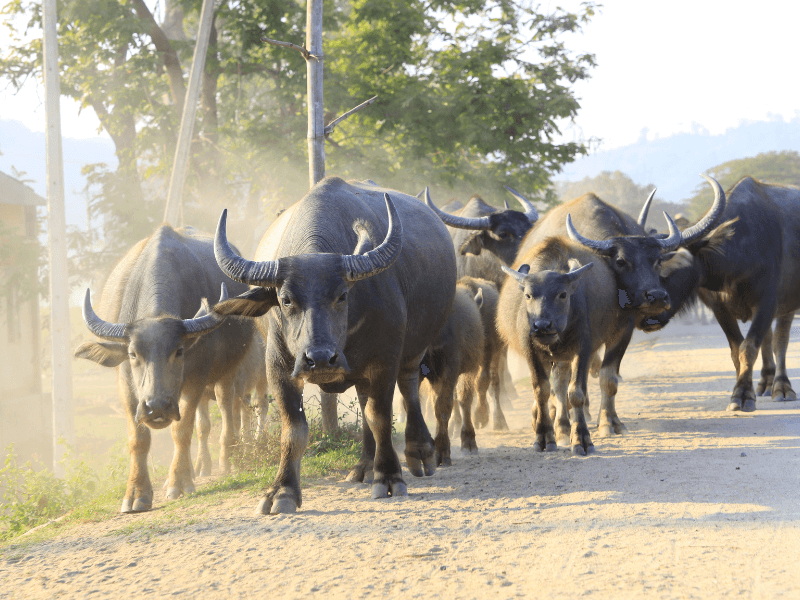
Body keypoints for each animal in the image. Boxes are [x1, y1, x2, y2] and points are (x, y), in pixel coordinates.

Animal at [73, 225, 256, 510]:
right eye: (133, 353)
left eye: (179, 351)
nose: (156, 407)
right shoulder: (127, 385)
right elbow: (138, 439)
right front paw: (137, 493)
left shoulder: (196, 378)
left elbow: (181, 431)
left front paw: (177, 484)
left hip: (228, 371)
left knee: (227, 409)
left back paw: (228, 461)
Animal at [209, 176, 456, 512]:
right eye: (285, 299)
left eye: (342, 295)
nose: (321, 359)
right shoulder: (279, 367)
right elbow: (294, 430)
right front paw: (282, 491)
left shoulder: (385, 359)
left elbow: (380, 417)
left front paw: (389, 477)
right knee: (364, 402)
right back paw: (365, 466)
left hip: (412, 351)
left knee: (407, 389)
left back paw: (419, 453)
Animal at [520, 176, 724, 434]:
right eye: (621, 261)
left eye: (658, 261)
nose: (657, 296)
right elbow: (562, 378)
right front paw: (562, 421)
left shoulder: (622, 331)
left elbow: (608, 377)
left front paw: (609, 422)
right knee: (560, 377)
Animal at [648, 175, 796, 412]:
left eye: (670, 263)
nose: (648, 316)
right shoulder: (720, 310)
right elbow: (736, 351)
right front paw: (742, 390)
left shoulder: (767, 303)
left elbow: (749, 347)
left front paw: (743, 395)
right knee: (769, 338)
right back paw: (765, 383)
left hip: (787, 303)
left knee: (780, 339)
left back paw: (782, 388)